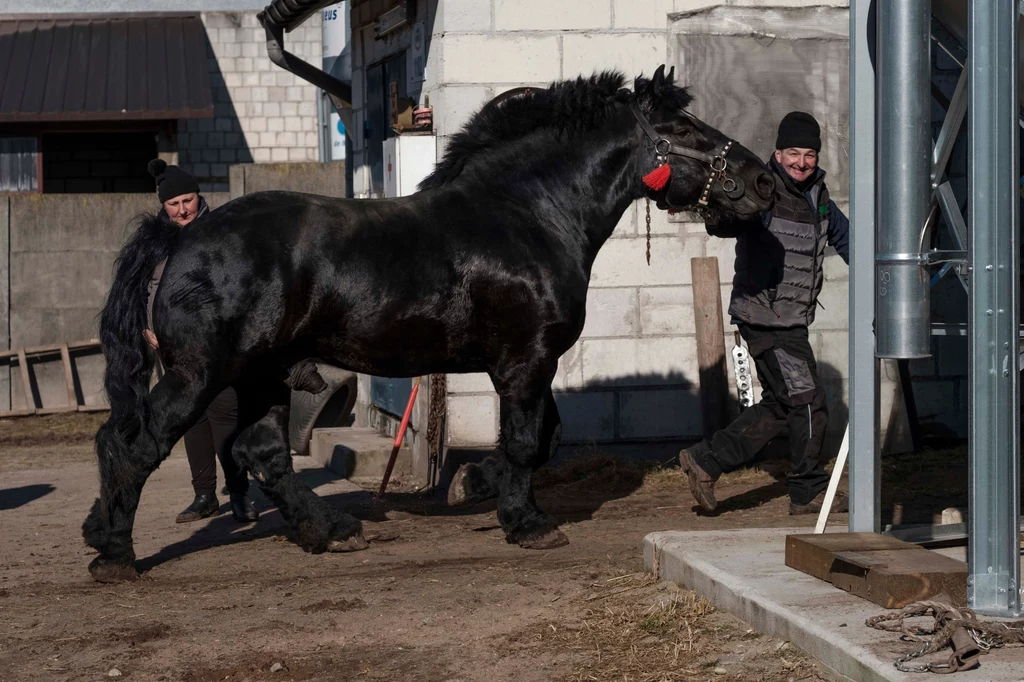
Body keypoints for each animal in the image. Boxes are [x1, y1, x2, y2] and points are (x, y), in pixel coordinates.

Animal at [83, 66, 770, 577]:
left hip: (262, 375)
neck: (529, 213)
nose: (763, 180)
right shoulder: (526, 359)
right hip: (200, 374)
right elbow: (528, 440)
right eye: (682, 126)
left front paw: (474, 482)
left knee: (261, 451)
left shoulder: (526, 364)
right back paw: (114, 552)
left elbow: (544, 435)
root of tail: (181, 238)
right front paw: (526, 521)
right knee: (133, 443)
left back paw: (328, 530)